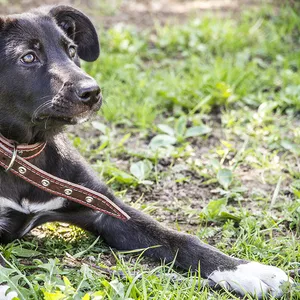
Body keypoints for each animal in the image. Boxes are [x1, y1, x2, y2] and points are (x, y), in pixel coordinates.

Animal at [0, 5, 292, 300]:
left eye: (71, 50)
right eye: (28, 57)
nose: (92, 91)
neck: (21, 153)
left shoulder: (104, 207)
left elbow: (180, 239)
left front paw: (246, 270)